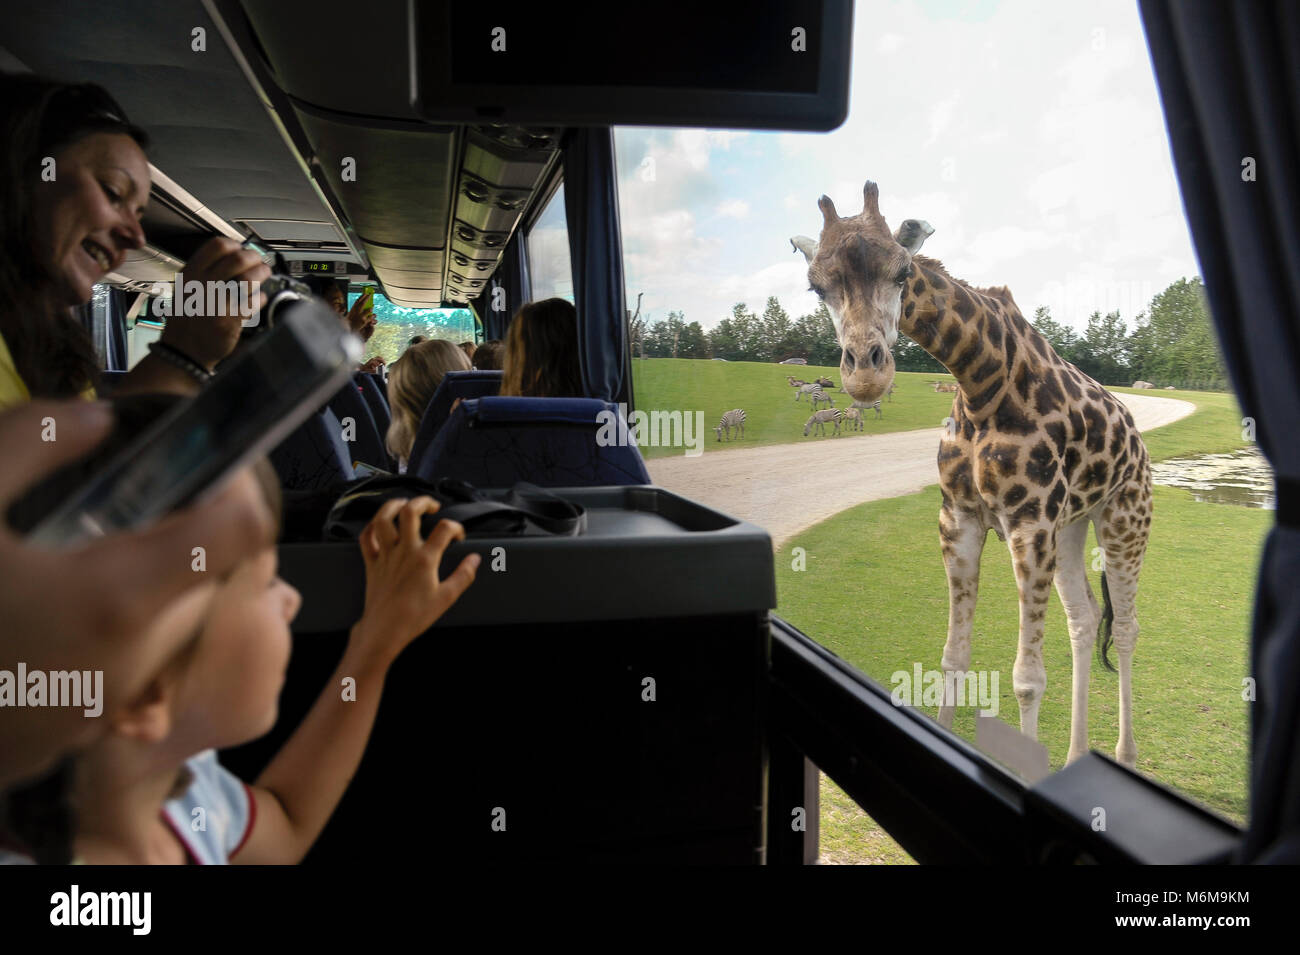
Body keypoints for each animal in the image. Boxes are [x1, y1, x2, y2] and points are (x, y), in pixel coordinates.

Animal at [790, 180, 1149, 769]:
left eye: (902, 272)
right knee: (1084, 617)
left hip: (1125, 518)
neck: (981, 380)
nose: (866, 374)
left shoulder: (1029, 524)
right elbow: (953, 657)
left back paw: (1123, 756)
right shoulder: (959, 518)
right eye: (816, 286)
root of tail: (1139, 443)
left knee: (1125, 627)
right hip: (1074, 526)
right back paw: (1077, 755)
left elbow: (1027, 679)